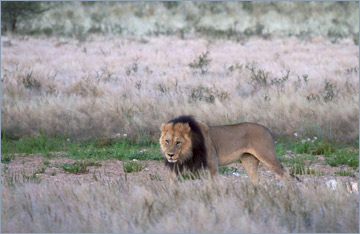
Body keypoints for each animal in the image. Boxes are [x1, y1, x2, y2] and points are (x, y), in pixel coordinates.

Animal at [160, 116, 298, 184]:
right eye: (167, 141)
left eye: (178, 142)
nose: (170, 155)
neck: (187, 153)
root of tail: (267, 129)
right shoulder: (176, 165)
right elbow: (169, 181)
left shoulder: (212, 163)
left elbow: (213, 184)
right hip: (249, 160)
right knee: (255, 179)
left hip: (267, 155)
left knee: (285, 173)